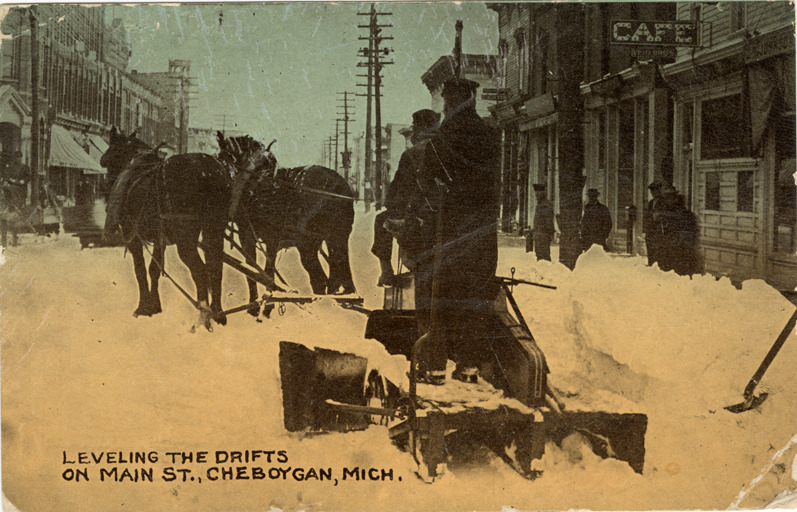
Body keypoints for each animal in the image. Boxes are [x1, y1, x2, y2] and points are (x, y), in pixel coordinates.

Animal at [100, 127, 230, 331]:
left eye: (111, 156)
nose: (106, 187)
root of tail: (208, 172)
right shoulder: (158, 238)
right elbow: (154, 269)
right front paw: (154, 306)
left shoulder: (133, 236)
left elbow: (140, 270)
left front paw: (143, 306)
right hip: (214, 228)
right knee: (216, 266)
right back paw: (217, 313)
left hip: (186, 241)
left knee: (201, 271)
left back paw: (202, 317)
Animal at [216, 133, 356, 313]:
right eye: (221, 156)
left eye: (228, 156)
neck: (259, 183)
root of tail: (340, 186)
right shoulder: (250, 237)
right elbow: (253, 270)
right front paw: (256, 305)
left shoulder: (269, 239)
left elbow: (267, 272)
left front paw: (265, 306)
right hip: (328, 240)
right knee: (329, 277)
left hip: (317, 241)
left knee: (325, 277)